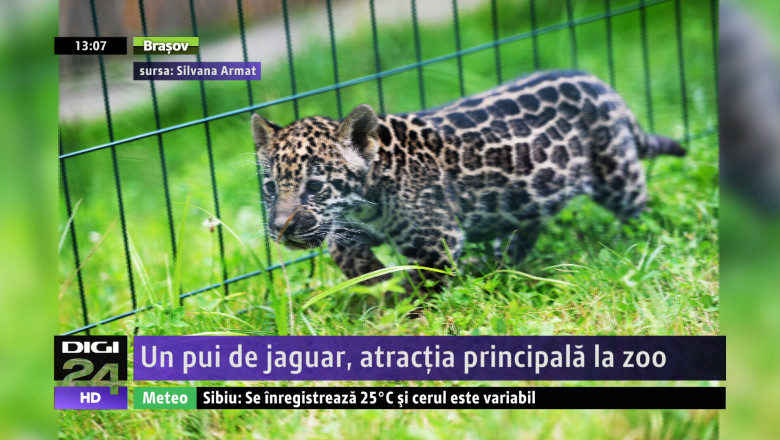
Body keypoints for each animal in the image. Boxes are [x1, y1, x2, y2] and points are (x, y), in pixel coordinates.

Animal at [251, 70, 685, 301]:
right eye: (270, 188)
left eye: (315, 187)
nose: (280, 227)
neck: (366, 202)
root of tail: (601, 84)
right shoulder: (350, 228)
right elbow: (344, 252)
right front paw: (376, 281)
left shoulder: (435, 241)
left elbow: (423, 284)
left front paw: (404, 309)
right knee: (526, 227)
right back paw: (495, 264)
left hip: (615, 173)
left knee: (639, 207)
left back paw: (641, 243)